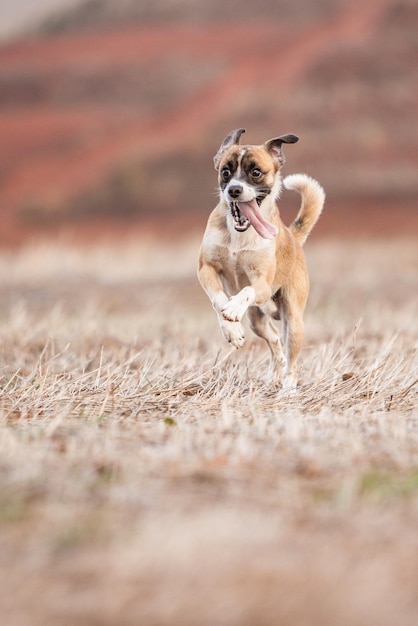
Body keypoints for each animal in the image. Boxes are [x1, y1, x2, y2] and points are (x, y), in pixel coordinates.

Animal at [198, 129, 324, 388]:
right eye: (225, 171)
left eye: (256, 172)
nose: (234, 190)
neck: (239, 235)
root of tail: (294, 239)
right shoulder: (206, 268)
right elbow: (218, 298)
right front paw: (232, 329)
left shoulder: (263, 284)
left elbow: (246, 291)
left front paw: (234, 307)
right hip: (257, 321)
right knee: (275, 340)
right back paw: (274, 374)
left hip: (293, 320)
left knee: (292, 359)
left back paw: (287, 388)